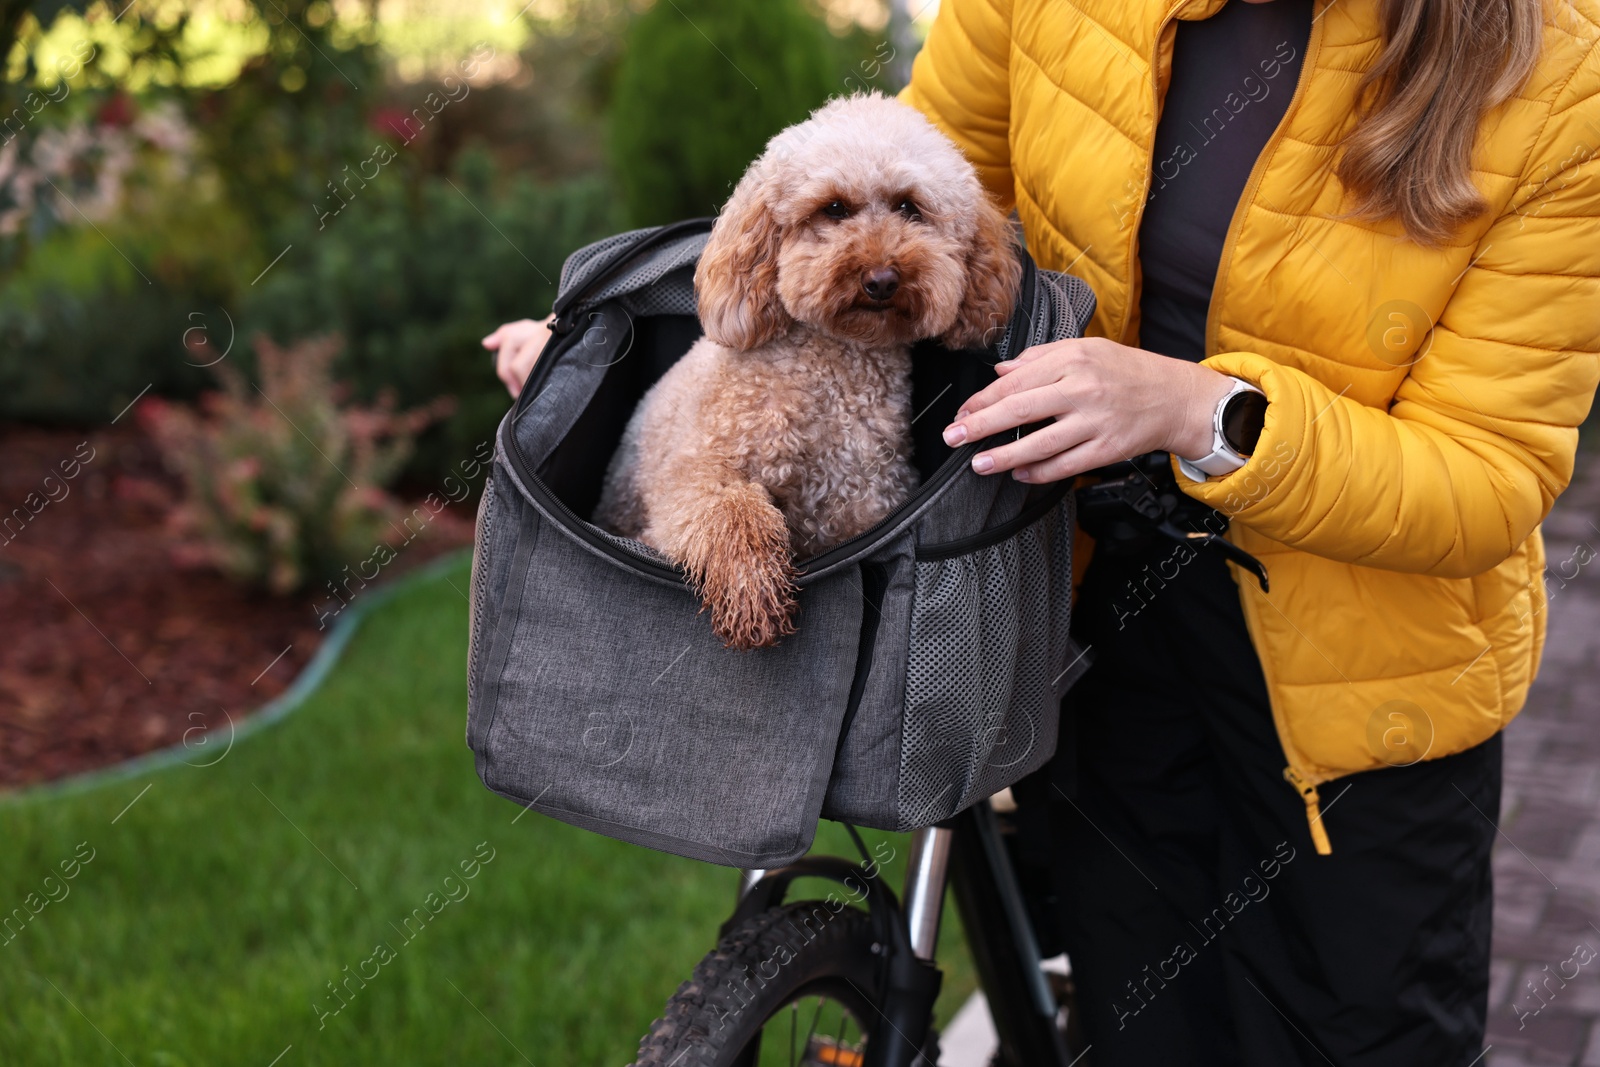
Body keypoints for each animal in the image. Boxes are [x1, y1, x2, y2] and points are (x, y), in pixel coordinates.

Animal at [595, 95, 1017, 652]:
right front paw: (752, 592)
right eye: (833, 208)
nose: (881, 279)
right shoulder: (694, 474)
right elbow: (732, 511)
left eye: (909, 207)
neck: (832, 369)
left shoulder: (858, 509)